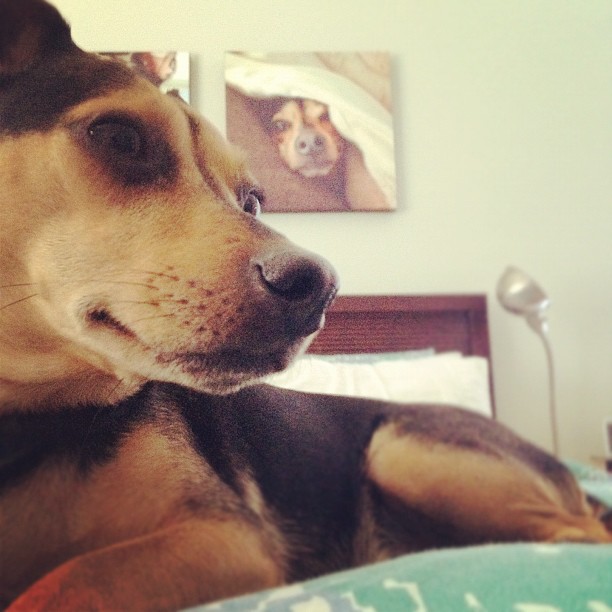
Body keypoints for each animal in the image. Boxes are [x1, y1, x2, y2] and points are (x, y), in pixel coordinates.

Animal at [2, 1, 608, 612]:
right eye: (119, 137)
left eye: (251, 200)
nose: (319, 286)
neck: (31, 423)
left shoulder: (224, 536)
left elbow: (63, 582)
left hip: (403, 448)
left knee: (578, 533)